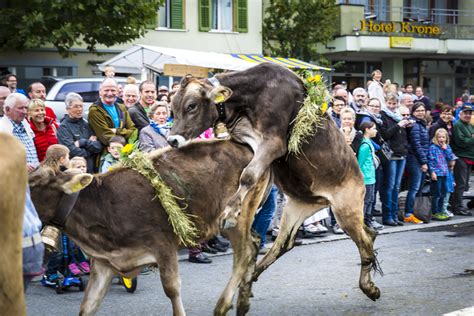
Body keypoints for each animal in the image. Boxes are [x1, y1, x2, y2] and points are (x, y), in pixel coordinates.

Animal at [28, 141, 270, 316]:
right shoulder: (105, 262)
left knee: (245, 253)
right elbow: (88, 305)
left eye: (34, 183)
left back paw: (223, 306)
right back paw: (244, 301)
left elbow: (172, 289)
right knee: (255, 242)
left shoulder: (163, 245)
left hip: (236, 217)